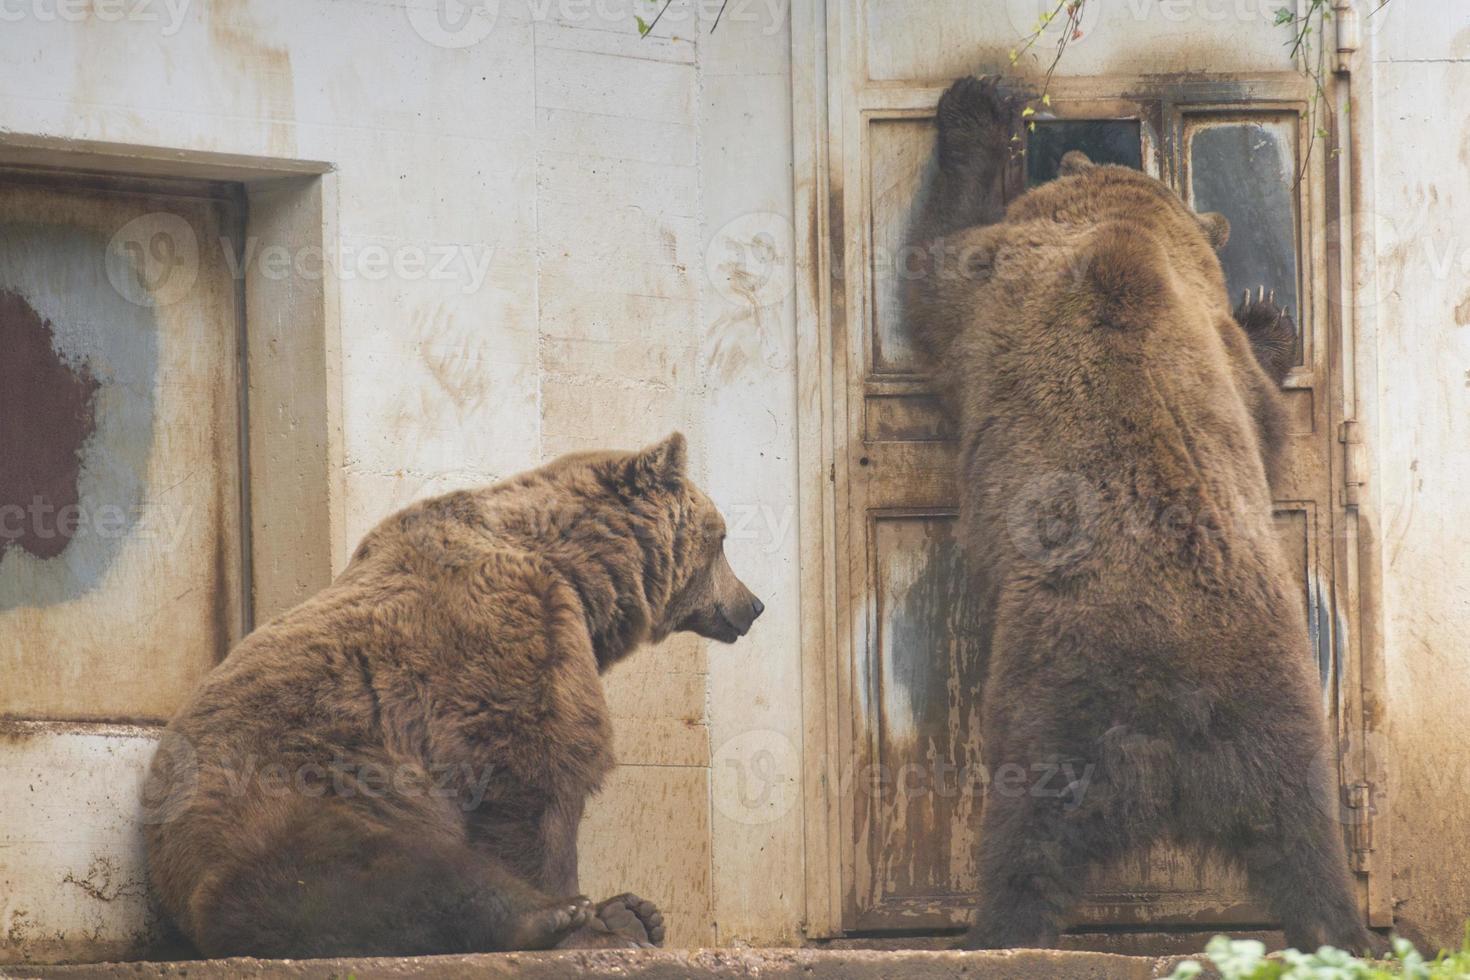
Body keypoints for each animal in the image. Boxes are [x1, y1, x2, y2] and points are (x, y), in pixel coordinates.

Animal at [143, 434, 764, 957]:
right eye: (722, 539)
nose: (753, 604)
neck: (578, 573)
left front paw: (615, 911)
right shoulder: (507, 635)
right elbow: (534, 781)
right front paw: (578, 910)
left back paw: (635, 913)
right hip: (296, 793)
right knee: (376, 874)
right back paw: (553, 918)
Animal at [905, 78, 1375, 957]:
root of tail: (1177, 709)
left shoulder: (995, 286)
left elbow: (934, 267)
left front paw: (976, 103)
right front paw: (1272, 316)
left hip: (1057, 694)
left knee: (1025, 838)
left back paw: (997, 932)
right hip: (1276, 706)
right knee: (1307, 837)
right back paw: (1340, 932)